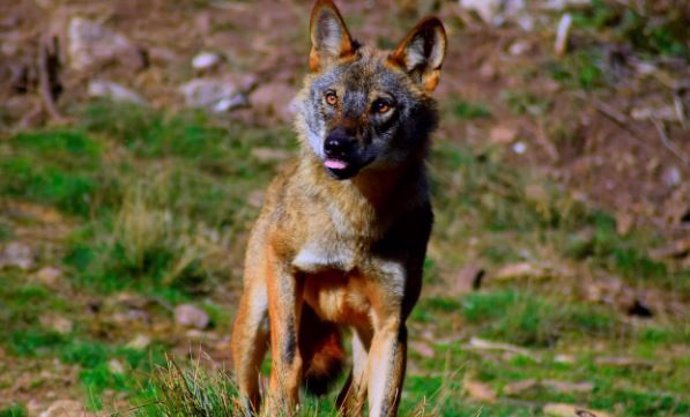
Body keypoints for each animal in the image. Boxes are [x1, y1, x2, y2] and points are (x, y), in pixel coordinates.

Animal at [231, 1, 446, 414]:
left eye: (382, 106)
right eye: (332, 98)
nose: (335, 145)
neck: (354, 220)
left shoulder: (393, 324)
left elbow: (384, 404)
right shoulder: (284, 266)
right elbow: (288, 363)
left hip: (364, 343)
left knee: (349, 398)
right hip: (255, 315)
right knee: (246, 392)